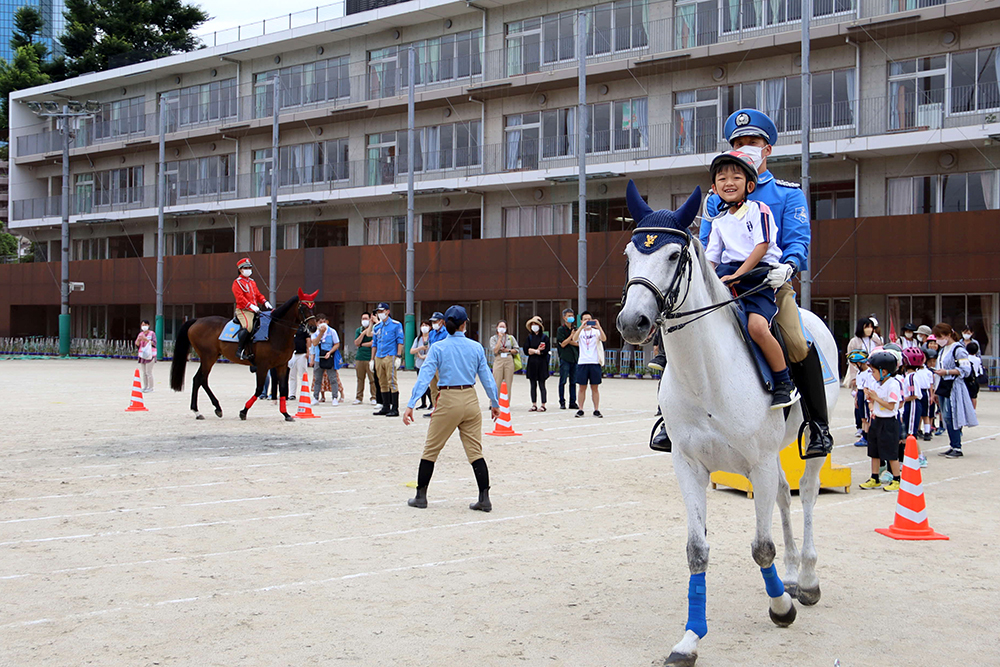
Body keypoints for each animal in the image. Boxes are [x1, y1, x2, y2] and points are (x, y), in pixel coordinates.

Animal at [168, 290, 316, 420]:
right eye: (303, 307)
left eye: (313, 306)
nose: (313, 327)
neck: (276, 331)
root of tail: (197, 320)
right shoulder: (263, 366)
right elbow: (258, 389)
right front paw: (243, 412)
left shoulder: (282, 365)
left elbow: (284, 389)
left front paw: (286, 414)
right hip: (207, 357)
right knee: (200, 379)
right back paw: (199, 411)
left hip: (210, 357)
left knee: (200, 379)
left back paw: (211, 409)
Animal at [616, 184, 836, 667]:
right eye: (629, 253)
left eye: (674, 255)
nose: (632, 322)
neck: (705, 377)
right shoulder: (689, 465)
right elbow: (697, 551)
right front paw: (689, 639)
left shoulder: (758, 463)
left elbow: (760, 546)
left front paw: (781, 609)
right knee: (786, 500)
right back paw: (790, 573)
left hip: (805, 450)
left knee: (809, 497)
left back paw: (808, 580)